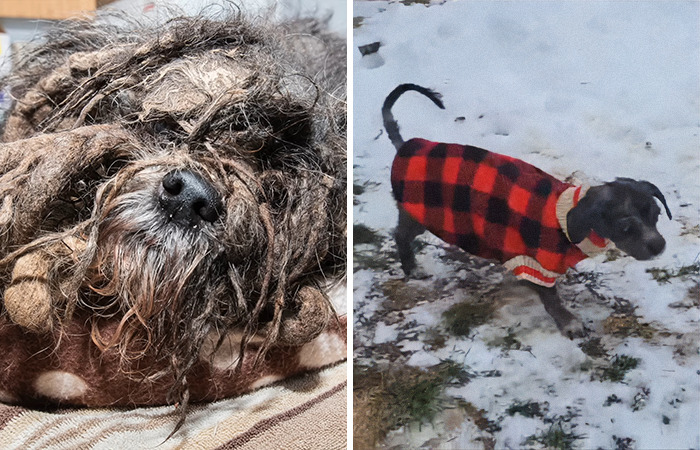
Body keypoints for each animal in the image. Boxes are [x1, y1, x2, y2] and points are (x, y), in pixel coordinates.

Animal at [382, 83, 672, 338]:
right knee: (400, 234)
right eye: (625, 226)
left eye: (656, 216)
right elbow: (551, 299)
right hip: (417, 215)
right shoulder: (534, 264)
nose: (659, 246)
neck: (563, 216)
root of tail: (404, 146)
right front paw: (570, 324)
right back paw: (412, 269)